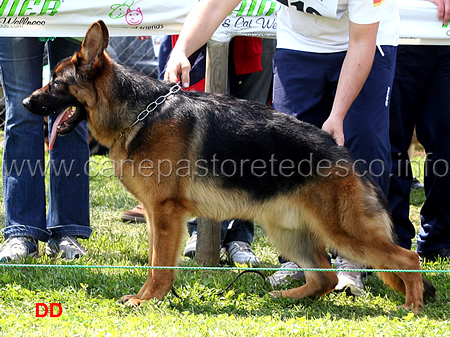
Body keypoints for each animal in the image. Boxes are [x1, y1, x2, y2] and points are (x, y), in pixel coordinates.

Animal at [22, 21, 434, 312]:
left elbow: (160, 265)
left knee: (407, 258)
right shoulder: (157, 215)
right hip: (287, 230)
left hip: (346, 232)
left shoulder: (166, 214)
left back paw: (412, 305)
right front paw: (149, 297)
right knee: (325, 278)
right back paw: (288, 297)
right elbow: (156, 261)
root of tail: (343, 154)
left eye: (55, 82)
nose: (26, 102)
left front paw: (147, 300)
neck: (139, 113)